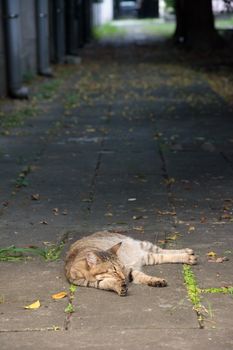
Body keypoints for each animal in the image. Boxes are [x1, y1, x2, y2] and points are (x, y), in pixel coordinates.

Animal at [65, 231, 197, 296]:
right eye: (114, 270)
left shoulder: (128, 270)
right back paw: (188, 254)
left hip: (145, 245)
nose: (123, 277)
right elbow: (109, 283)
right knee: (162, 255)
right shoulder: (94, 283)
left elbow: (141, 275)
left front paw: (155, 280)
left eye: (122, 267)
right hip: (147, 256)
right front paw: (119, 286)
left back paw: (188, 255)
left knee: (162, 251)